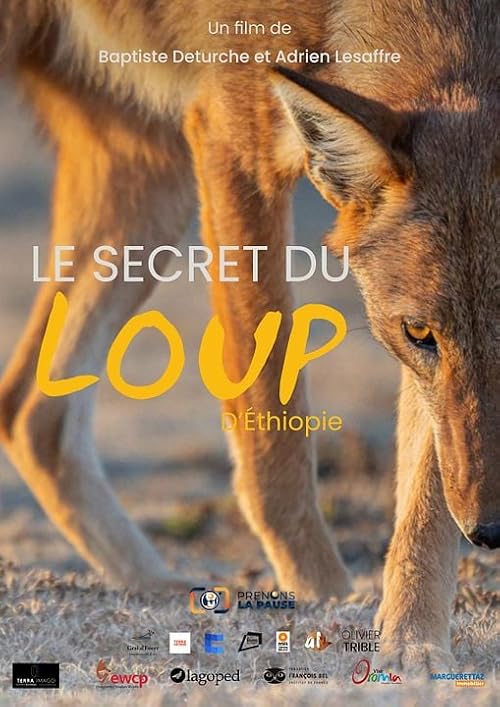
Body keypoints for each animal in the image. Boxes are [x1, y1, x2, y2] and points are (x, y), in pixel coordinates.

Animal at [0, 0, 498, 671]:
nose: (490, 531)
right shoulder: (233, 137)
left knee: (30, 415)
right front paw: (323, 600)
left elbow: (426, 489)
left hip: (154, 186)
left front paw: (412, 642)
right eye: (419, 332)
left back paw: (157, 588)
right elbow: (273, 433)